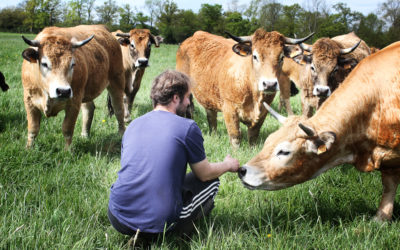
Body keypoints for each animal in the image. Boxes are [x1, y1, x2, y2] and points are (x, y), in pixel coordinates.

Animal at [177, 29, 314, 147]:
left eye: (281, 57)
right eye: (255, 56)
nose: (269, 84)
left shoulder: (263, 111)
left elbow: (253, 135)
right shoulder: (229, 109)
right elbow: (235, 136)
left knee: (211, 116)